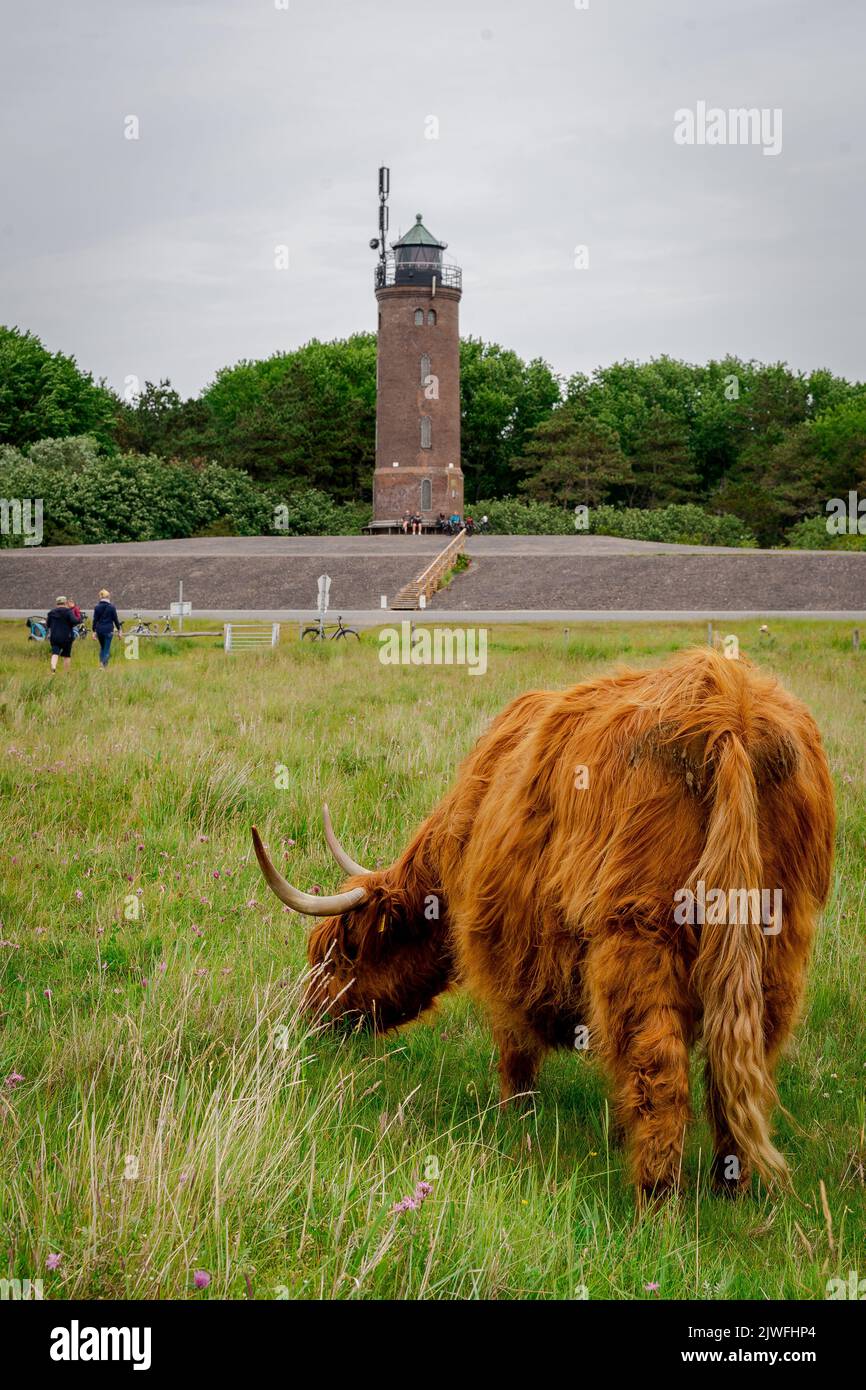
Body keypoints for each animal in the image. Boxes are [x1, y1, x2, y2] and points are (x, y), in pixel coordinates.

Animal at [251, 647, 835, 1203]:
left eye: (340, 953)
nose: (310, 1017)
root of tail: (728, 712)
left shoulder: (498, 944)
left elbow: (515, 1044)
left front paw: (516, 1115)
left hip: (640, 932)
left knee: (660, 1067)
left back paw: (655, 1202)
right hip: (777, 939)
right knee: (740, 1066)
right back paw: (728, 1187)